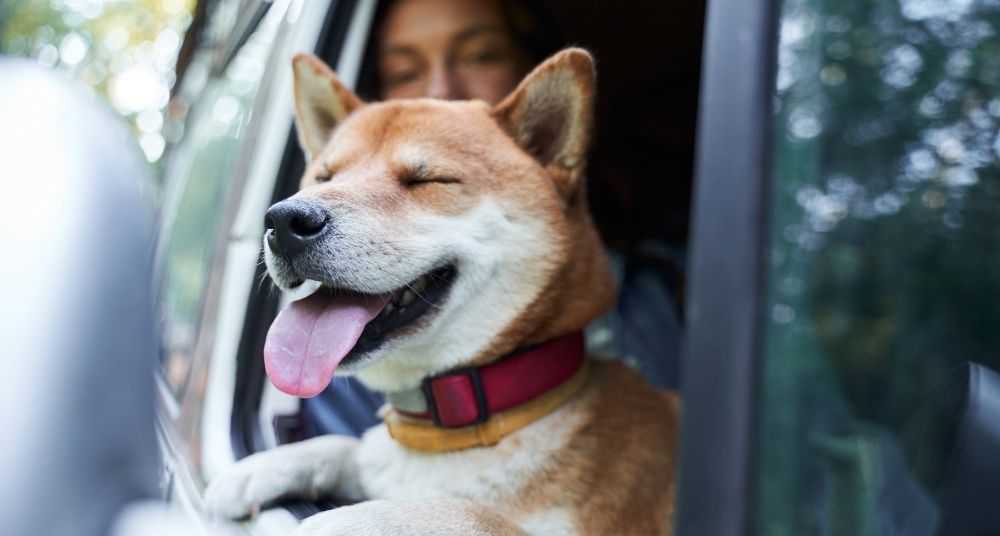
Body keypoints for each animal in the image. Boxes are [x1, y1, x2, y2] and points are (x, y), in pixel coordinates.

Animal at [207, 48, 684, 532]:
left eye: (427, 180)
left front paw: (344, 520)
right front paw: (261, 468)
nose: (284, 221)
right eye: (324, 177)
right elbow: (348, 446)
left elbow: (464, 512)